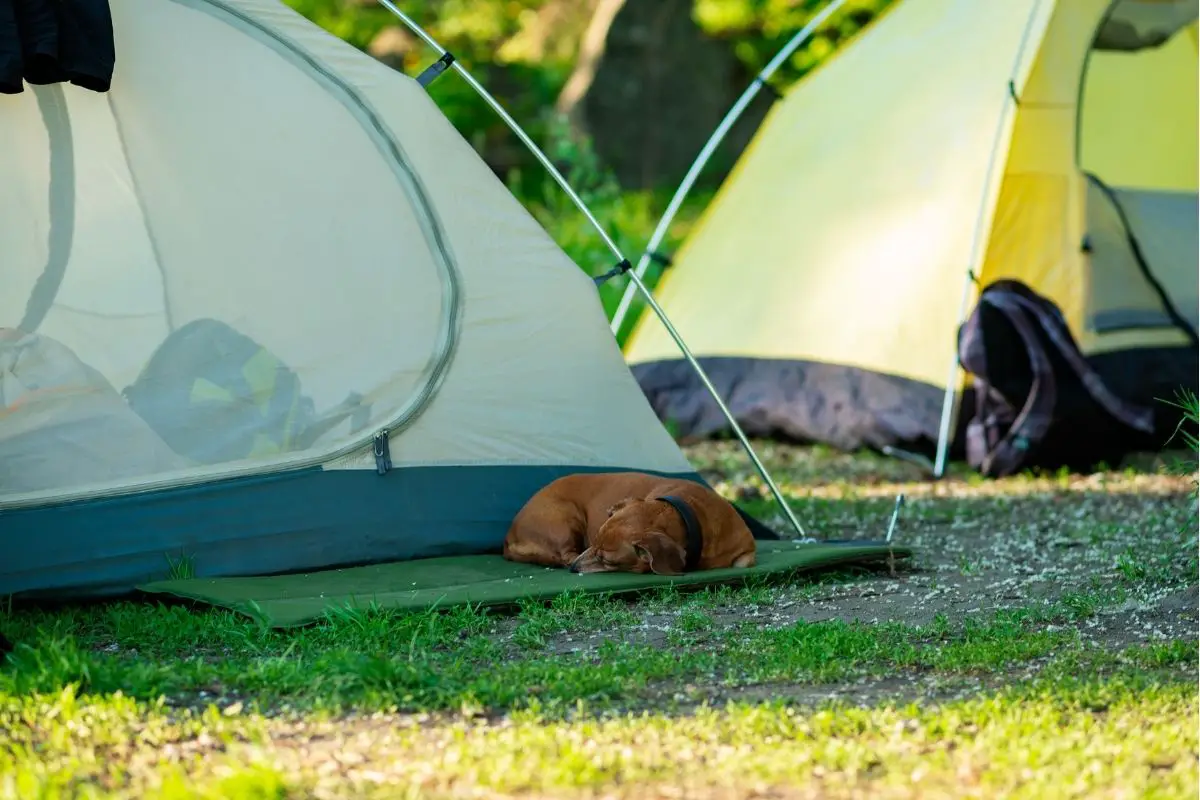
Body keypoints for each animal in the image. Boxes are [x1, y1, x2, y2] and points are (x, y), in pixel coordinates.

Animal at [501, 472, 753, 578]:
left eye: (606, 560)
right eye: (592, 544)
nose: (574, 568)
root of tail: (508, 539)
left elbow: (743, 562)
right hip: (566, 518)